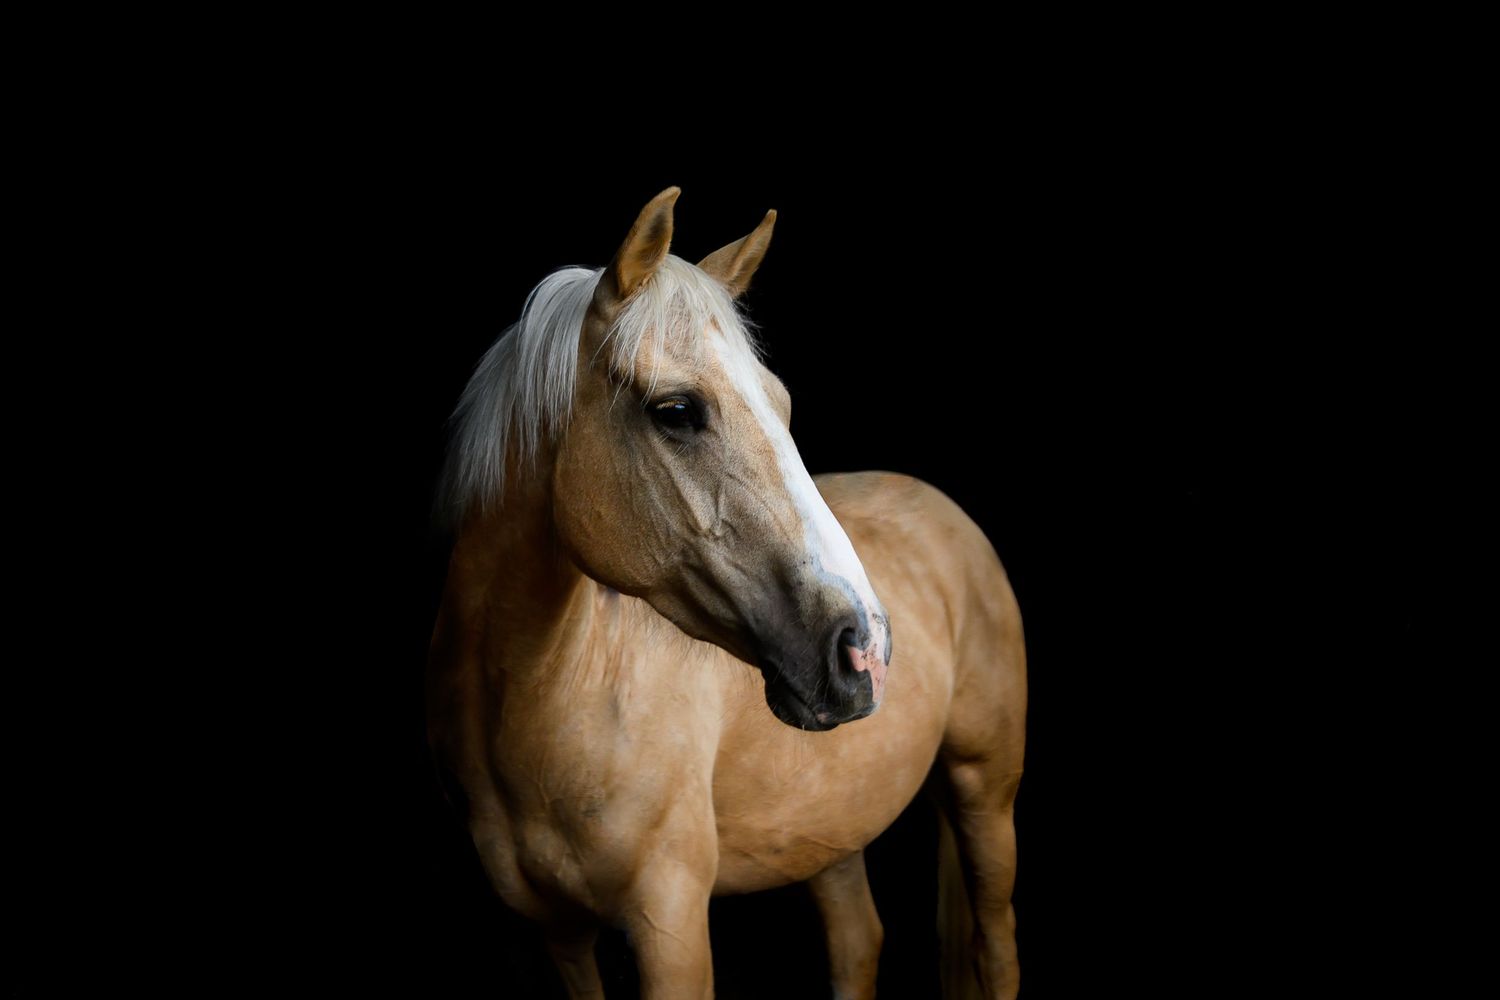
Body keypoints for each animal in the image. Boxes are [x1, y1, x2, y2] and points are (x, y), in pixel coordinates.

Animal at [425, 187, 1027, 999]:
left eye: (781, 402)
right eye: (677, 411)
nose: (864, 649)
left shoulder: (671, 927)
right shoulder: (558, 939)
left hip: (984, 794)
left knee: (995, 945)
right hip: (828, 829)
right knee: (857, 940)